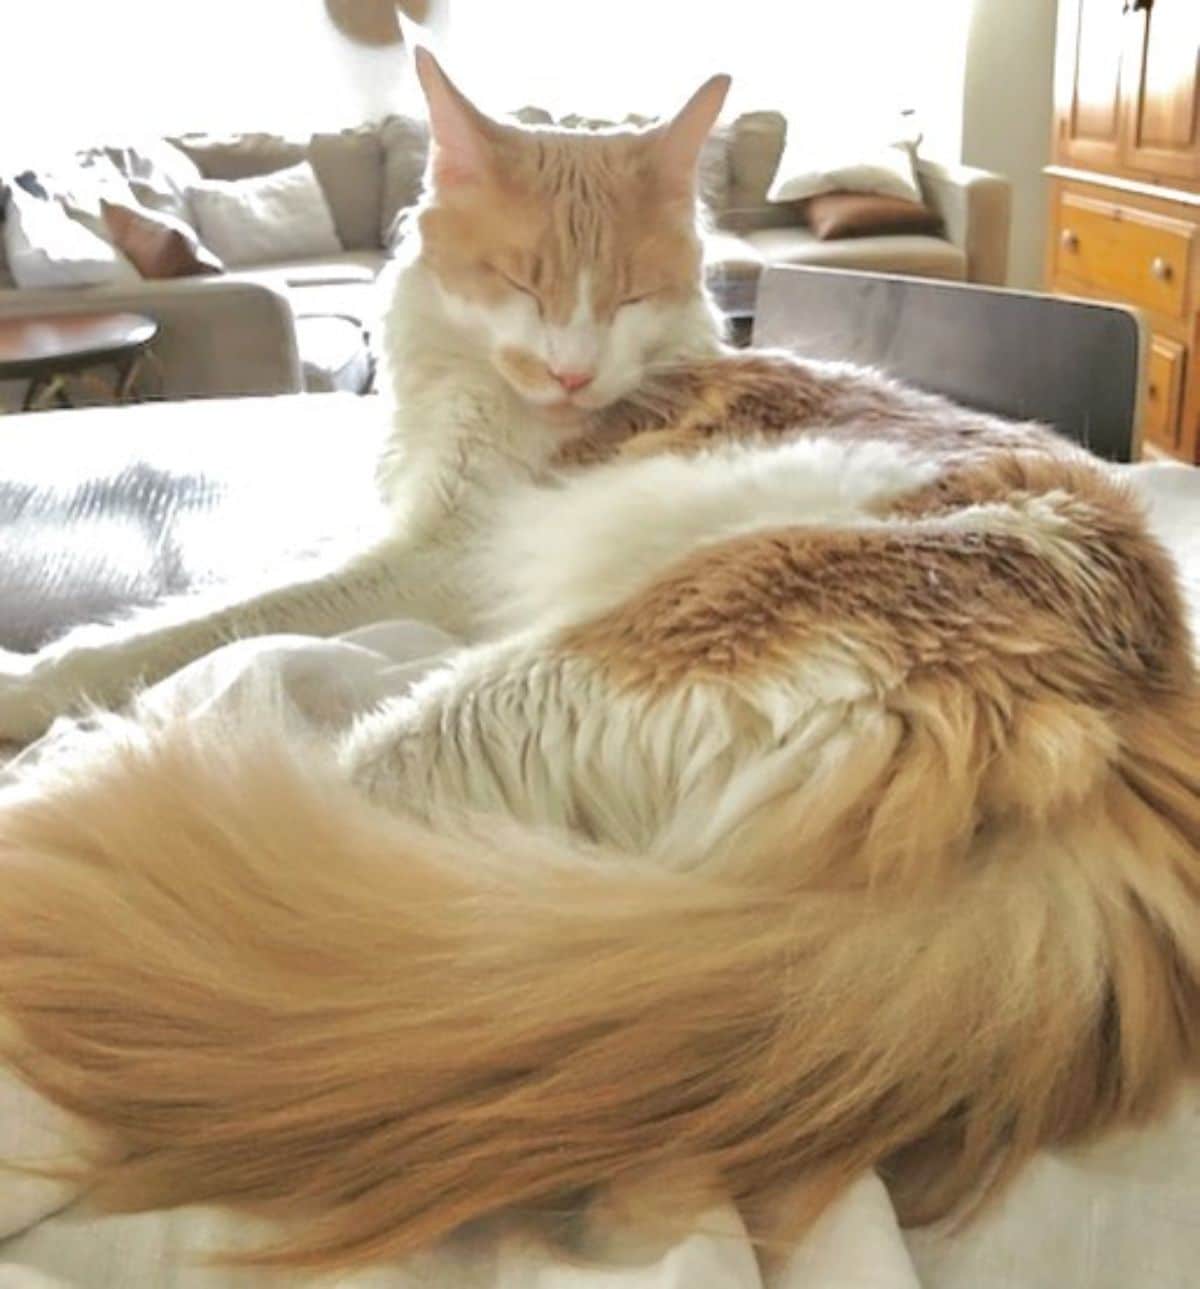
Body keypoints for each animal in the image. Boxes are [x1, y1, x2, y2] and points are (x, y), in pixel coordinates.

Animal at [2, 47, 1200, 1268]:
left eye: (626, 293)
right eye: (524, 283)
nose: (574, 374)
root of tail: (1132, 721)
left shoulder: (429, 559)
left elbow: (220, 616)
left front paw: (51, 694)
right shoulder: (403, 532)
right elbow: (204, 600)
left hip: (550, 676)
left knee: (267, 833)